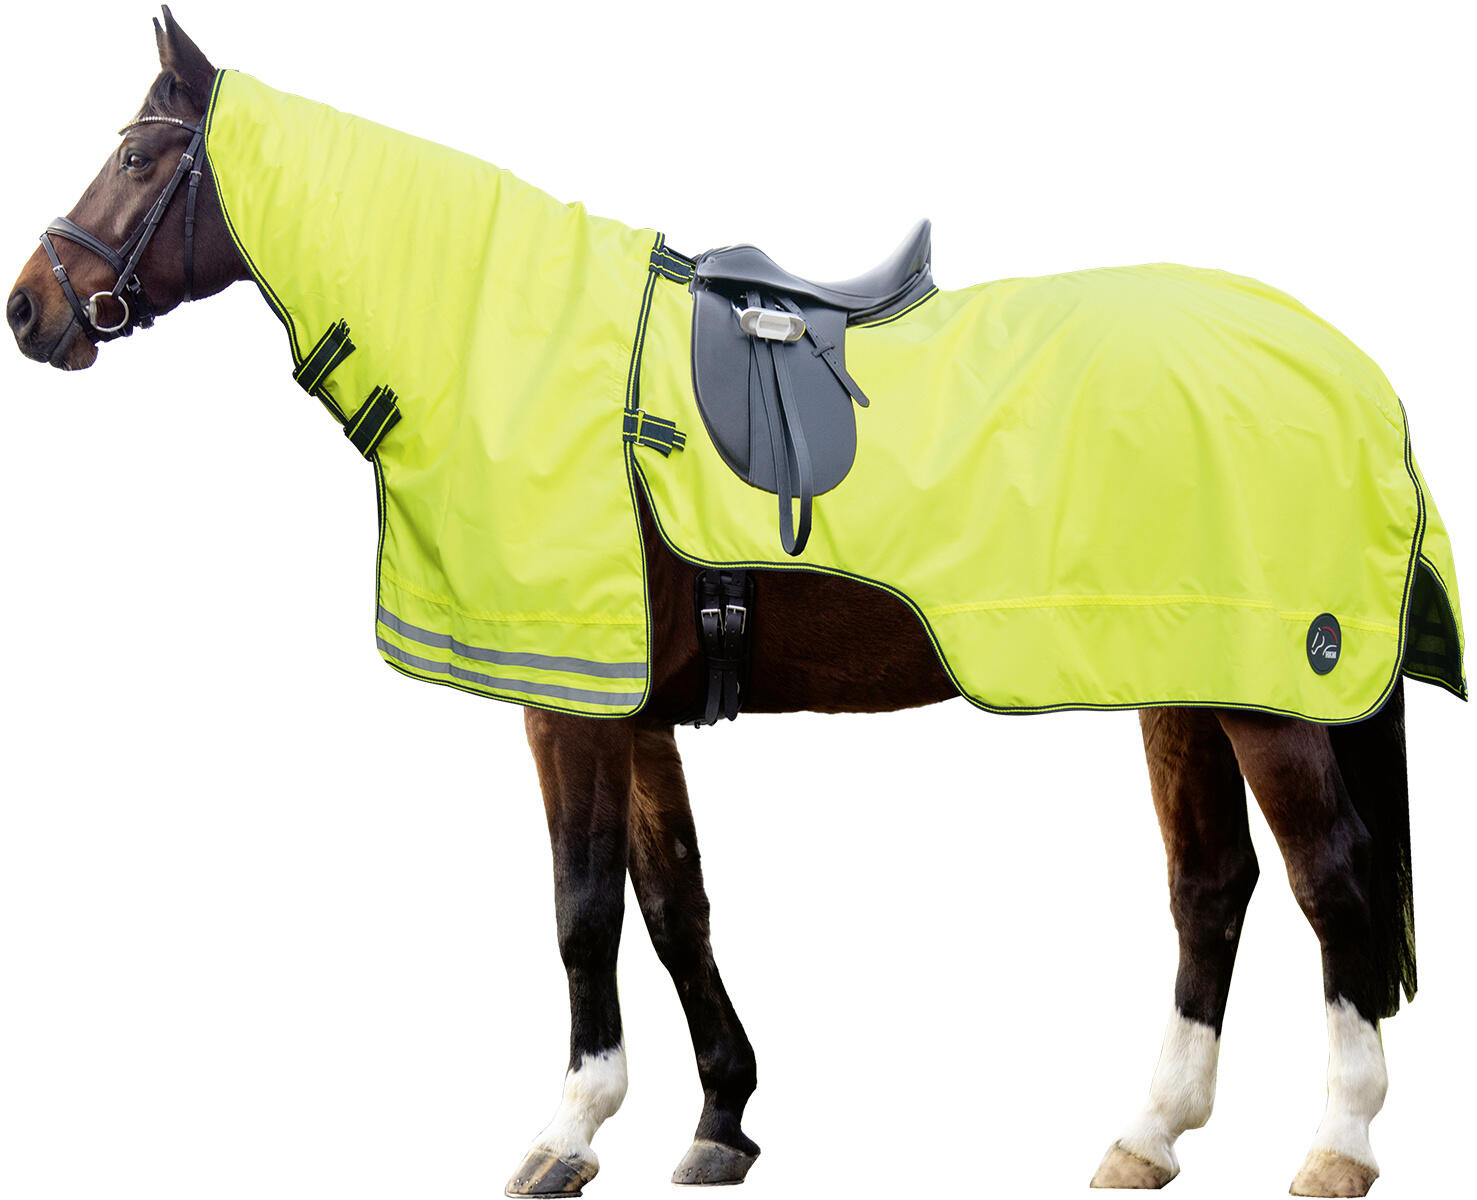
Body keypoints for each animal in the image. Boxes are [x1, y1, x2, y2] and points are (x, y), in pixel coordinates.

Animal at [7, 11, 1463, 1198]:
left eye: (137, 158)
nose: (29, 310)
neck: (516, 350)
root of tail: (1346, 368)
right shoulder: (633, 703)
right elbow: (673, 897)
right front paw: (719, 1119)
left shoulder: (566, 705)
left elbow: (583, 906)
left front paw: (568, 1132)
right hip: (1181, 670)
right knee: (1210, 881)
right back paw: (1147, 1134)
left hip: (1271, 693)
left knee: (1330, 879)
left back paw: (1336, 1146)